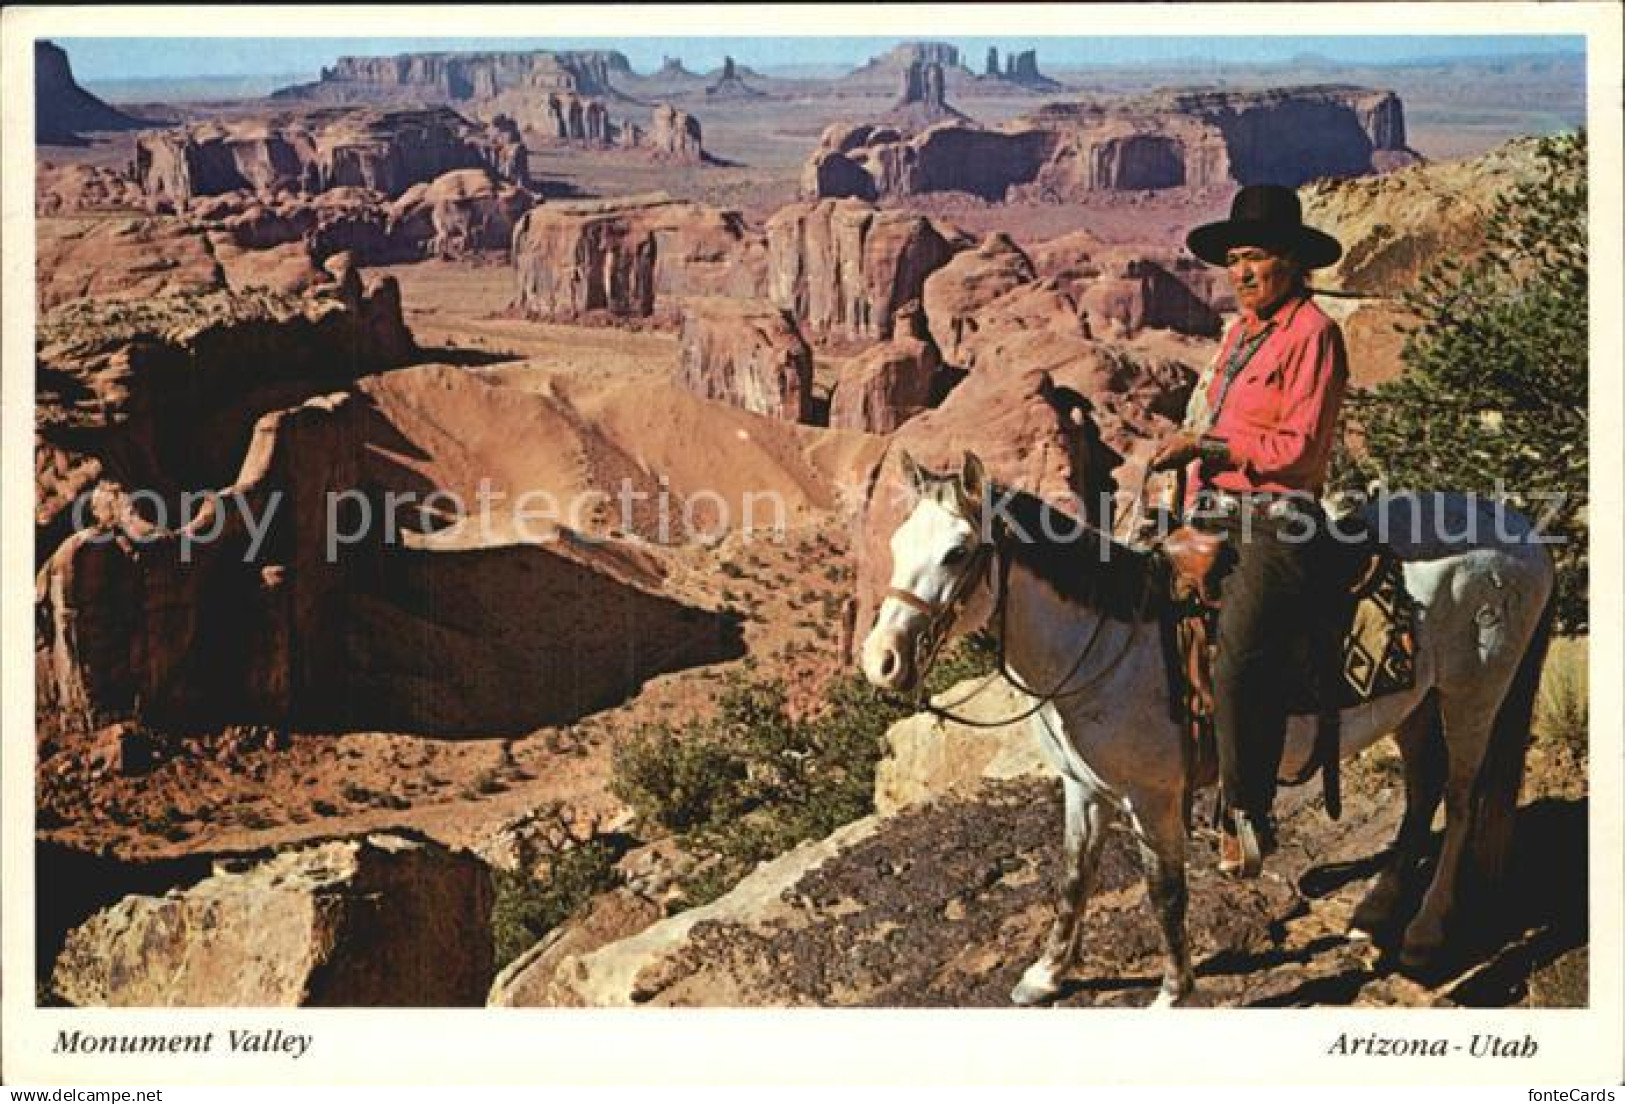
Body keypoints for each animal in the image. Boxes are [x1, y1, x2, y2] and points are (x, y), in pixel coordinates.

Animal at [864, 452, 1560, 1008]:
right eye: (894, 546)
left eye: (957, 553)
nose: (881, 661)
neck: (1109, 643)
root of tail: (1526, 535)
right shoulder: (1083, 789)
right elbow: (1073, 876)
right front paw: (1045, 974)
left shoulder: (1153, 799)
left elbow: (1164, 893)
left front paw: (1174, 992)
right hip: (1415, 705)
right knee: (1422, 793)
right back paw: (1376, 908)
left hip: (1474, 693)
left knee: (1462, 801)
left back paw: (1423, 932)